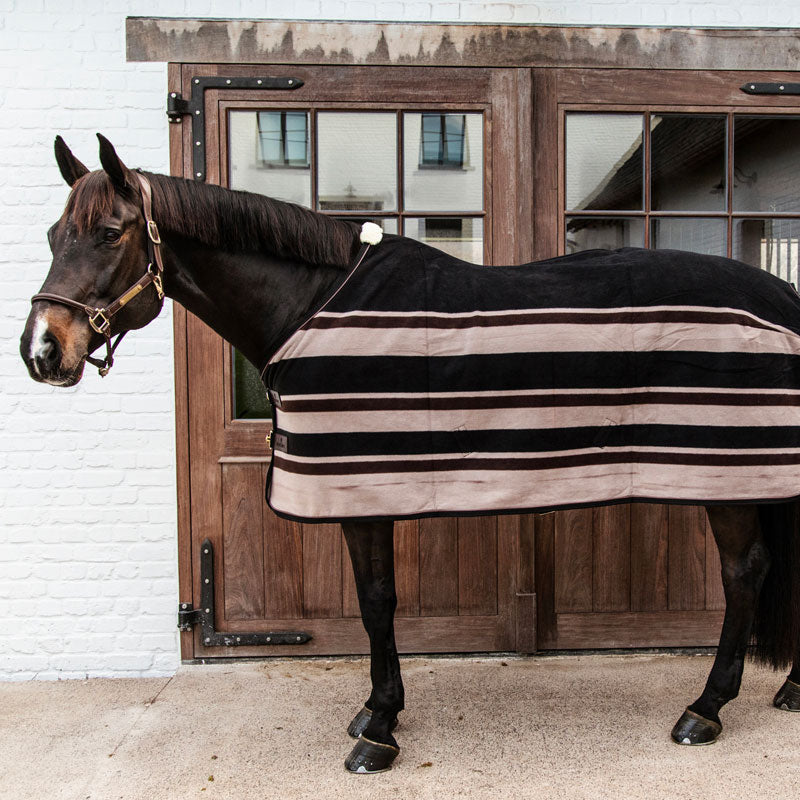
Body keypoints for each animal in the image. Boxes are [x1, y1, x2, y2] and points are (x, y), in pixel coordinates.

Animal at [17, 138, 800, 776]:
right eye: (56, 233)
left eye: (110, 233)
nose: (42, 350)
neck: (309, 303)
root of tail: (784, 299)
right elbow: (375, 601)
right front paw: (375, 713)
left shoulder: (363, 488)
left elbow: (377, 602)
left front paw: (379, 732)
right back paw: (785, 690)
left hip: (729, 475)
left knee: (743, 573)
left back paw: (706, 708)